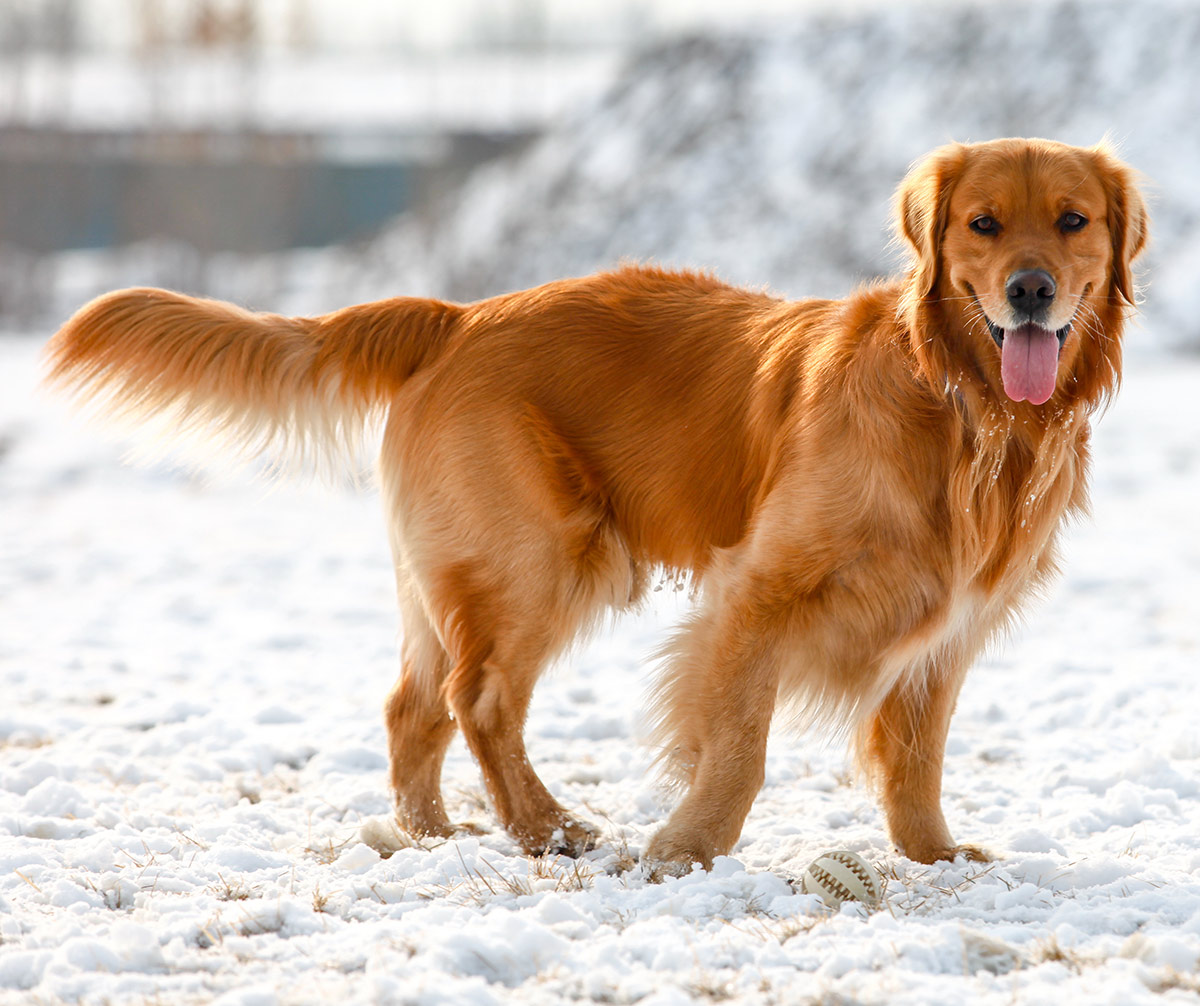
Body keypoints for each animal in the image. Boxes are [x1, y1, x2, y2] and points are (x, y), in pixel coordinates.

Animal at [44, 138, 1142, 878]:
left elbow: (916, 762)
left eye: (1073, 221)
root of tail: (455, 315)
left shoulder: (944, 629)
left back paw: (432, 835)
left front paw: (935, 856)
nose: (1032, 290)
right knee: (480, 699)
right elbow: (739, 746)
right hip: (546, 554)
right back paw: (548, 828)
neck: (960, 409)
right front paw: (688, 848)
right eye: (982, 224)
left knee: (412, 704)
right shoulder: (756, 592)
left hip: (457, 571)